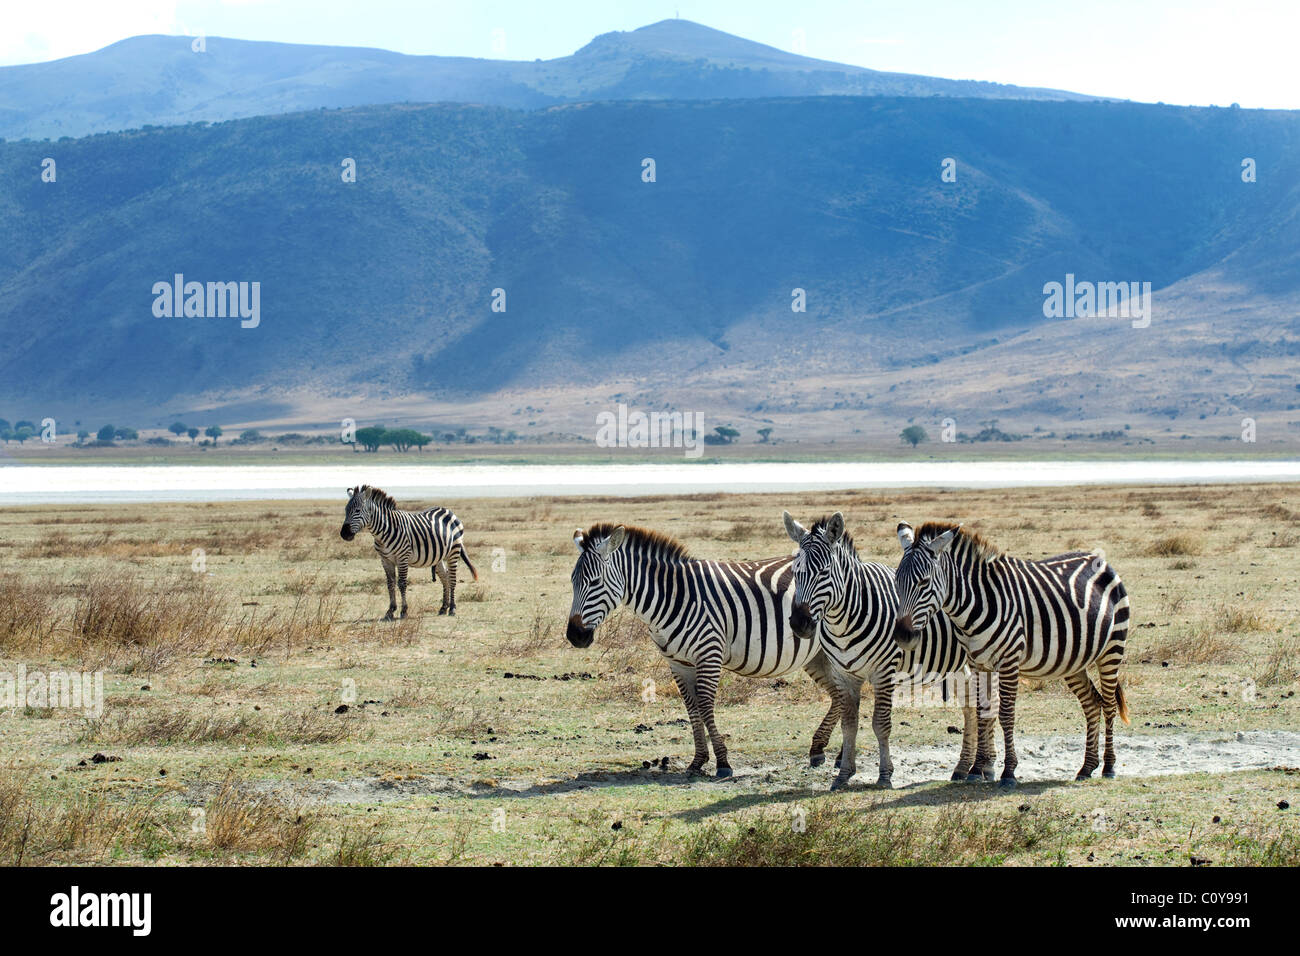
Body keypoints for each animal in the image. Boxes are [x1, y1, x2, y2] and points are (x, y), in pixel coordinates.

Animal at [340, 486, 478, 621]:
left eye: (357, 510)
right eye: (346, 510)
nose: (344, 534)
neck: (383, 532)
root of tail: (449, 511)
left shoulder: (402, 557)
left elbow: (401, 583)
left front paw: (403, 611)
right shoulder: (385, 560)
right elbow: (390, 583)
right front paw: (390, 611)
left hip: (454, 551)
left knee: (453, 578)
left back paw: (452, 608)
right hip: (438, 556)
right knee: (445, 577)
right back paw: (444, 607)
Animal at [566, 522, 847, 780]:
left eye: (595, 582)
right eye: (572, 581)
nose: (574, 635)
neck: (673, 597)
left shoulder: (709, 654)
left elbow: (704, 705)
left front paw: (722, 762)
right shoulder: (677, 663)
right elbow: (691, 707)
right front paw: (698, 761)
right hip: (817, 655)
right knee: (839, 695)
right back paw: (823, 751)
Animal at [780, 512, 982, 790]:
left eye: (824, 572)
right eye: (795, 573)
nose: (800, 623)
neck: (844, 621)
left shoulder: (884, 672)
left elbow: (881, 724)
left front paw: (885, 775)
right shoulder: (844, 675)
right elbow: (849, 725)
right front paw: (844, 774)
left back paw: (980, 766)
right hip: (954, 665)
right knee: (970, 704)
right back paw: (963, 767)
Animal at [894, 520, 1128, 790]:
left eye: (924, 582)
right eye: (897, 581)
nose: (902, 636)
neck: (976, 605)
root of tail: (1101, 561)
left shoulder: (1009, 662)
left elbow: (1006, 715)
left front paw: (1009, 772)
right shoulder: (978, 664)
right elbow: (982, 712)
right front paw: (976, 769)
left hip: (1112, 649)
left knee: (1109, 704)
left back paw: (1109, 766)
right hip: (1073, 662)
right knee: (1092, 704)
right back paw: (1087, 767)